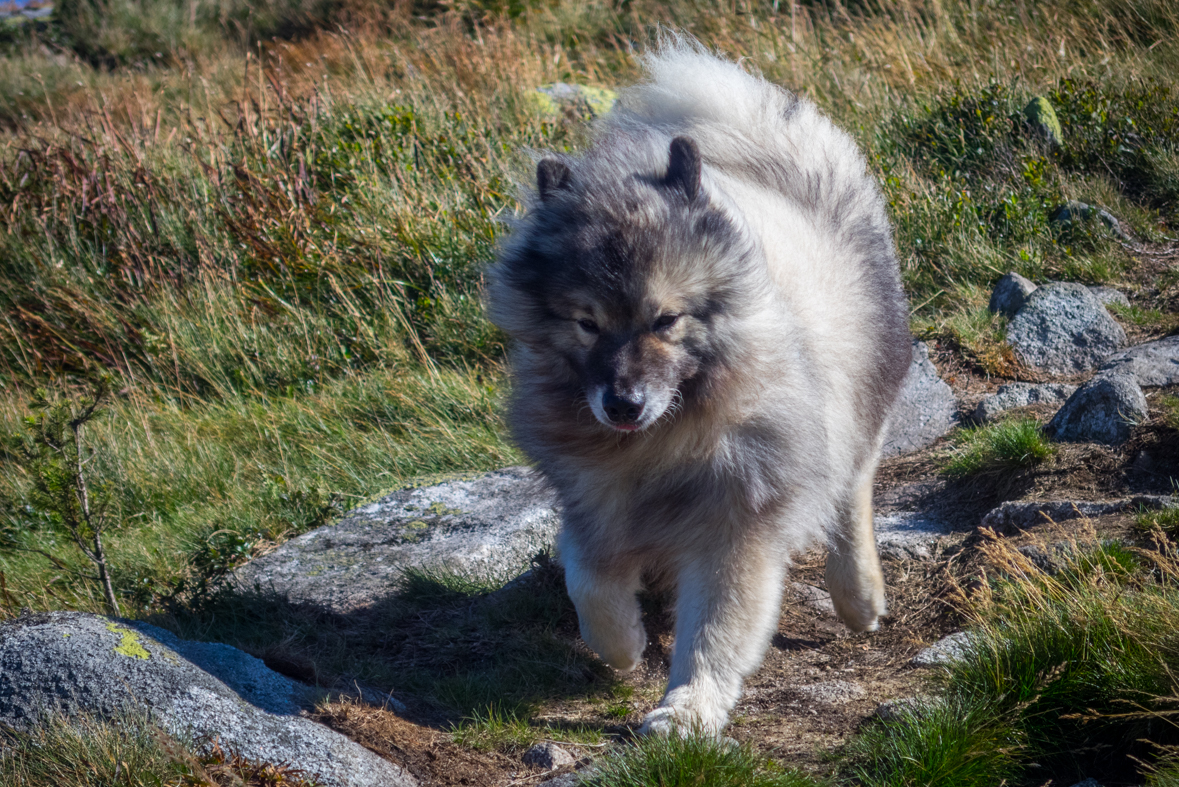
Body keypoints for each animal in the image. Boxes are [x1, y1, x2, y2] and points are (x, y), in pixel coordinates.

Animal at [483, 40, 905, 735]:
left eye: (665, 319)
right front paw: (621, 645)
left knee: (852, 492)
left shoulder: (736, 521)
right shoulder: (594, 499)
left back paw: (859, 596)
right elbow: (588, 579)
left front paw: (688, 708)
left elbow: (714, 628)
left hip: (856, 406)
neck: (664, 437)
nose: (622, 404)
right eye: (587, 323)